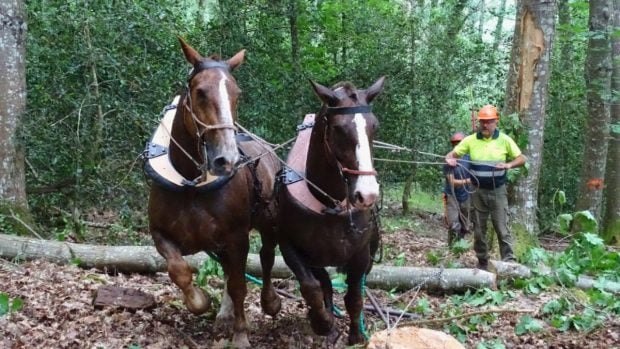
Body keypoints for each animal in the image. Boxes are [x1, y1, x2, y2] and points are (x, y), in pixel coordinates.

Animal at [145, 36, 280, 346]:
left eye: (236, 93)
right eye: (200, 92)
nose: (226, 159)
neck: (190, 184)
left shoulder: (237, 237)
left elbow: (241, 284)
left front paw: (240, 336)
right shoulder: (160, 234)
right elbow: (179, 271)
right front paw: (200, 302)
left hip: (268, 223)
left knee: (266, 258)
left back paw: (269, 302)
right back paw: (224, 316)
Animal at [260, 77, 386, 344]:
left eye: (375, 127)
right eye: (338, 129)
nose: (367, 195)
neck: (330, 203)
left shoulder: (360, 254)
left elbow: (354, 296)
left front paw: (356, 335)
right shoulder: (291, 247)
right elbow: (311, 287)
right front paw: (323, 323)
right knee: (323, 282)